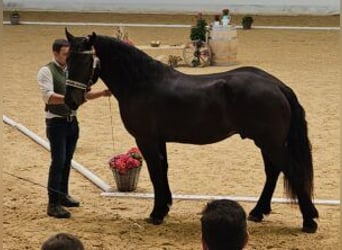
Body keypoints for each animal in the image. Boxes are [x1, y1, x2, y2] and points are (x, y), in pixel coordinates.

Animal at [64, 29, 318, 232]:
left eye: (84, 62)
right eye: (67, 61)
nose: (70, 100)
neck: (142, 83)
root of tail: (277, 85)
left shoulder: (146, 139)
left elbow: (156, 173)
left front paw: (156, 214)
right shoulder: (159, 140)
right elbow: (163, 171)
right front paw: (164, 208)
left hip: (270, 142)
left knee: (291, 171)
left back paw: (309, 221)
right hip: (266, 142)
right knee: (273, 172)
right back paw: (258, 212)